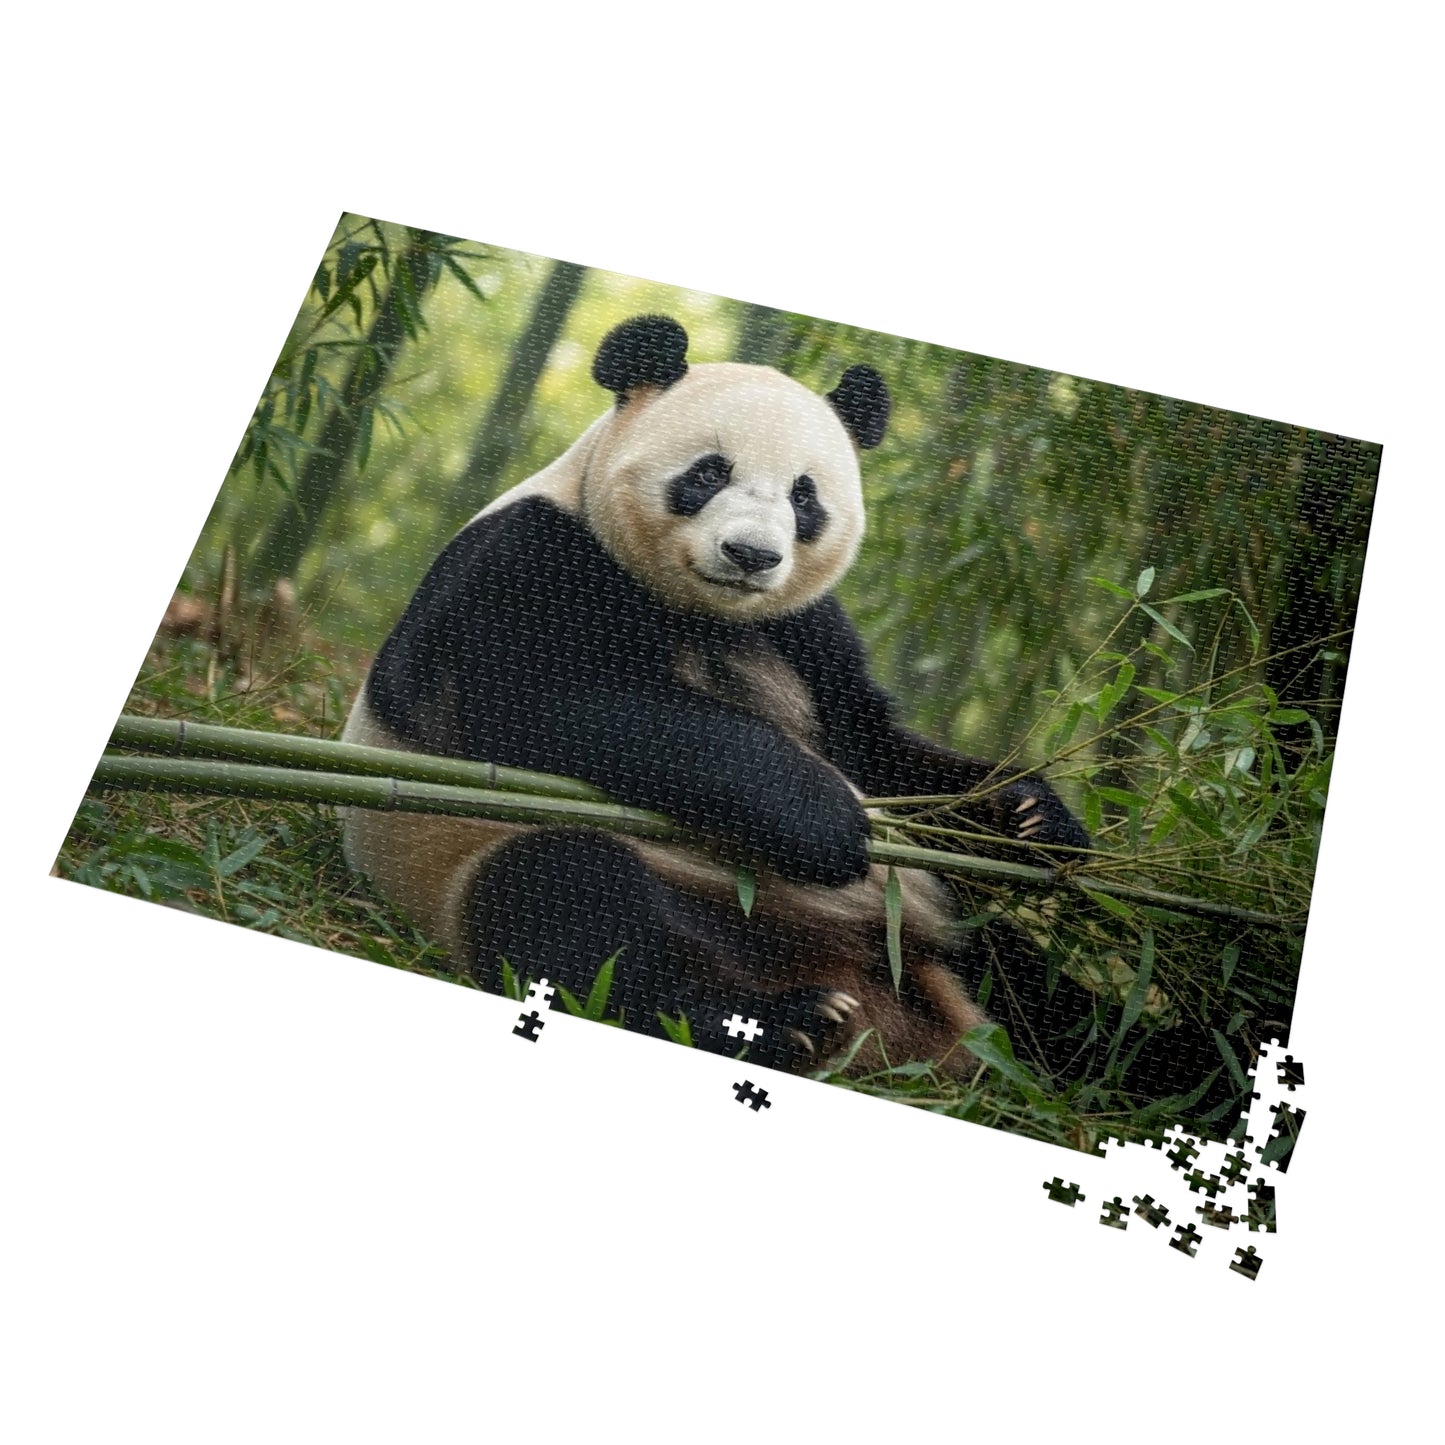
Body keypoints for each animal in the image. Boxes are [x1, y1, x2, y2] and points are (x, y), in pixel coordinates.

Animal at [340, 315, 1094, 1077]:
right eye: (708, 473)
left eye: (803, 496)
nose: (751, 555)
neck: (702, 608)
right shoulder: (523, 558)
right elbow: (540, 705)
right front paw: (822, 816)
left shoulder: (802, 629)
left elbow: (875, 746)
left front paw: (1030, 816)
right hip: (478, 861)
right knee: (572, 907)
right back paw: (782, 1023)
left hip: (930, 928)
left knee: (1030, 979)